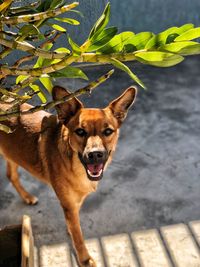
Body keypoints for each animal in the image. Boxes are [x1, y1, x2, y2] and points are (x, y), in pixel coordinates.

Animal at [0, 86, 136, 267]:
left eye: (108, 131)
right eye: (80, 131)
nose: (95, 155)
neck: (74, 165)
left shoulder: (74, 203)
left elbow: (74, 226)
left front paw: (70, 230)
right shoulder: (69, 204)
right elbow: (78, 237)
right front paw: (85, 259)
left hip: (13, 154)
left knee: (11, 175)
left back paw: (27, 197)